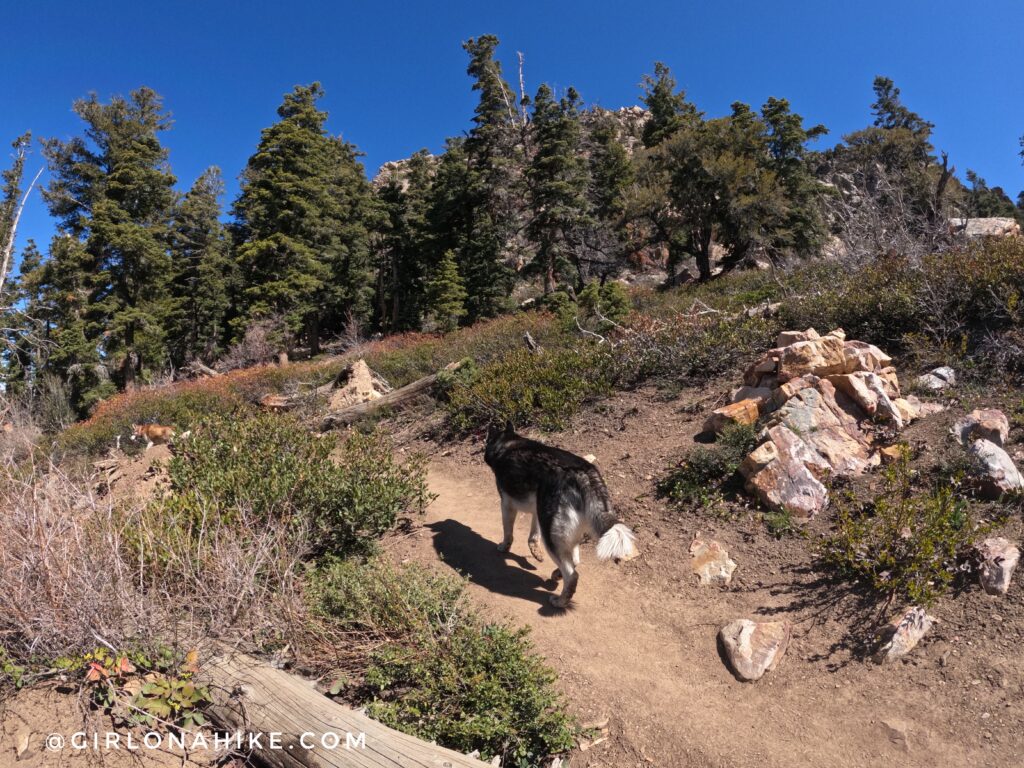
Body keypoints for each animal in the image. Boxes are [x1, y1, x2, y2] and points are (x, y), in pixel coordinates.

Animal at [481, 421, 638, 606]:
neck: (507, 443)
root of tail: (584, 473)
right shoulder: (537, 511)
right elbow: (533, 535)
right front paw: (534, 550)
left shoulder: (507, 504)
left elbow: (508, 533)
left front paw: (504, 547)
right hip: (561, 532)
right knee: (574, 561)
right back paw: (557, 575)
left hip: (552, 536)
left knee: (572, 574)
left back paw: (561, 600)